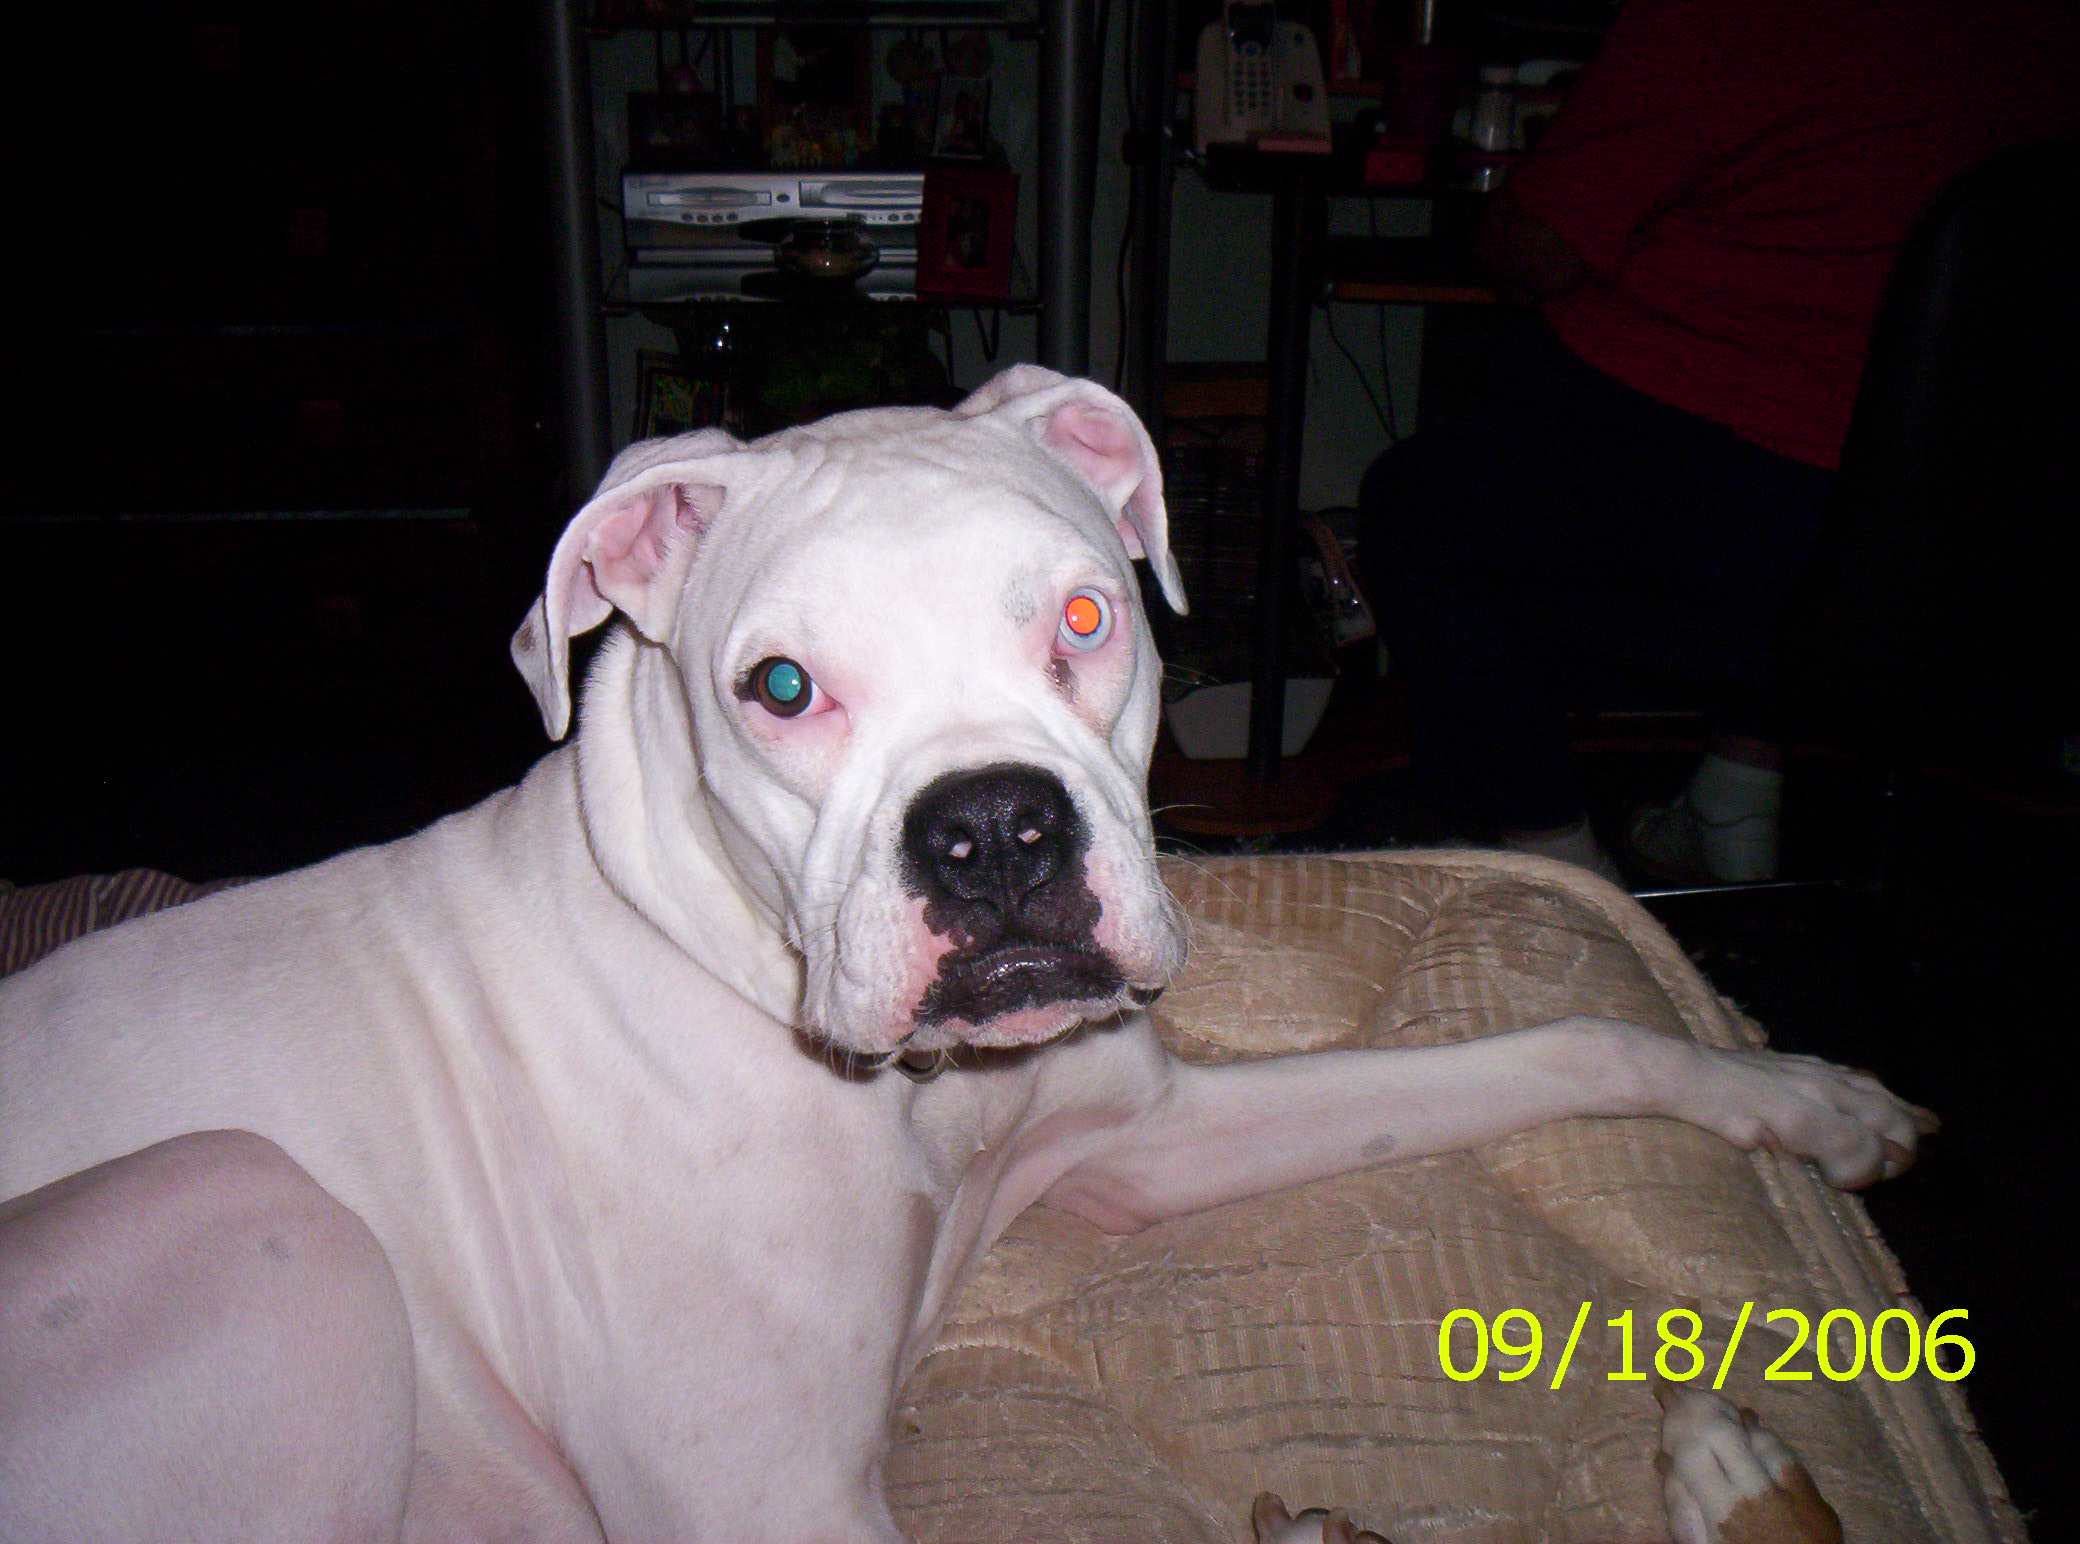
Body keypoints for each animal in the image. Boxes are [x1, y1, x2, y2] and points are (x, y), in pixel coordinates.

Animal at [0, 367, 1931, 1542]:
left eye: (1085, 614)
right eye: (778, 686)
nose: (994, 830)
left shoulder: (1143, 1139)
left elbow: (1555, 1048)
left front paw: (1800, 1092)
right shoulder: (771, 1500)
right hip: (256, 1215)